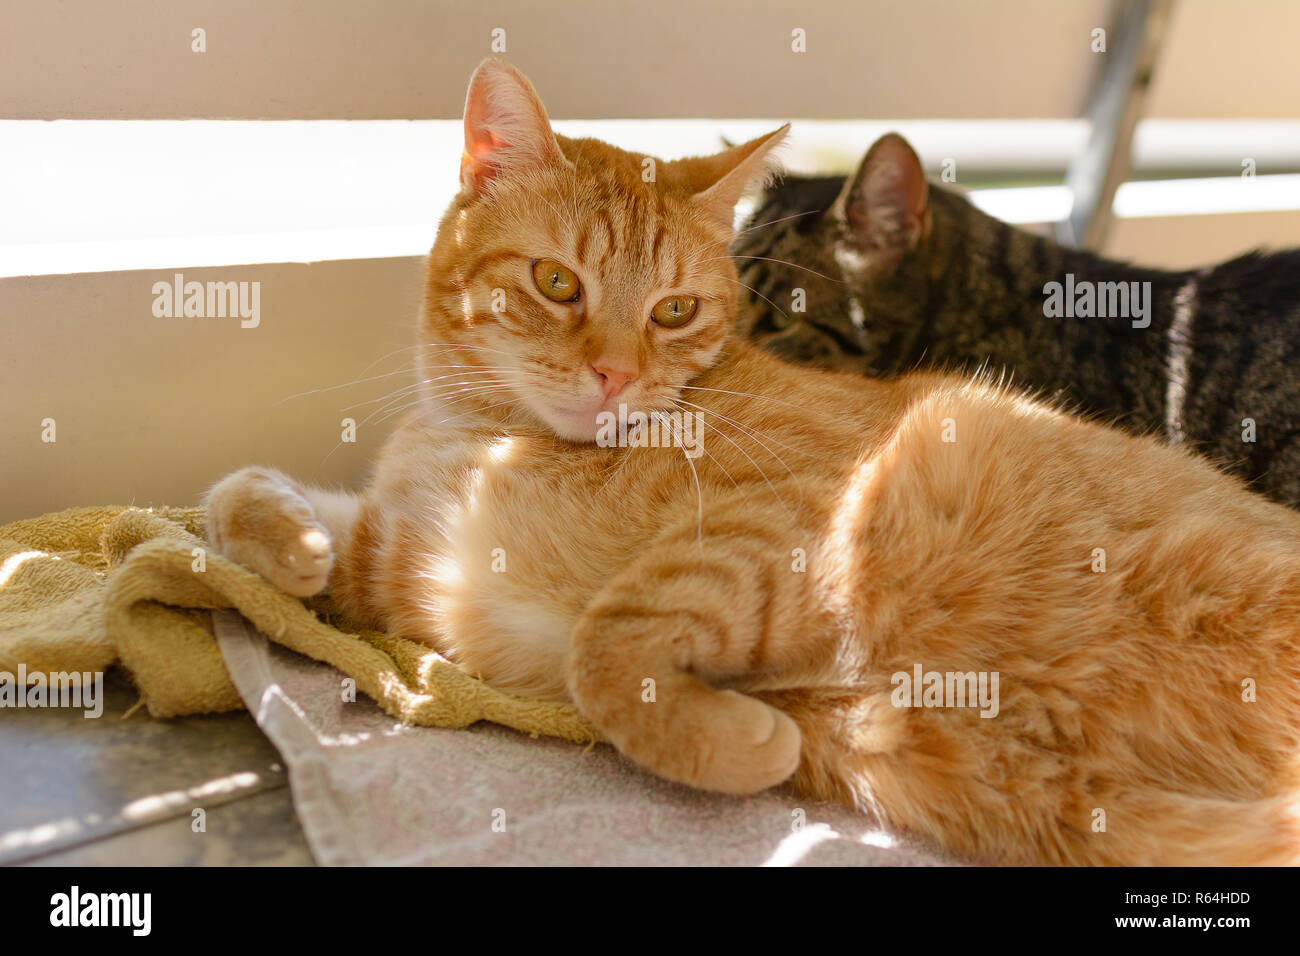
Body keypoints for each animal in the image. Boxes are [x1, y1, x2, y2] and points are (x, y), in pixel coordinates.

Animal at [202, 57, 1300, 868]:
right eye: (556, 283)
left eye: (675, 310)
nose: (613, 375)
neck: (487, 438)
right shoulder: (409, 561)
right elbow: (230, 505)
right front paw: (289, 540)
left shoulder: (783, 516)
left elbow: (607, 648)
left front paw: (741, 742)